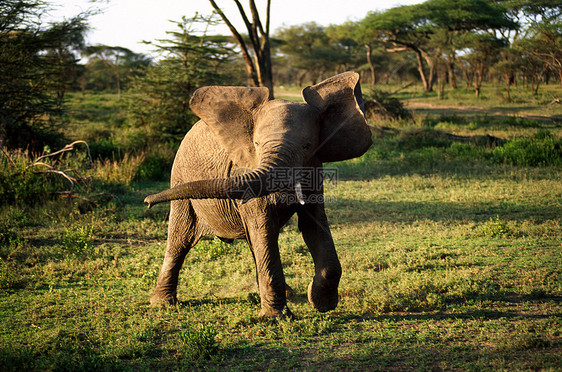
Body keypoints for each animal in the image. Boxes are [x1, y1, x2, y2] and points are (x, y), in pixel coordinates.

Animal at [143, 71, 372, 318]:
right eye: (256, 143)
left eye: (307, 146)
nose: (147, 202)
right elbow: (263, 227)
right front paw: (276, 319)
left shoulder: (314, 169)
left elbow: (313, 224)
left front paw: (320, 303)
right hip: (179, 177)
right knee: (179, 239)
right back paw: (162, 304)